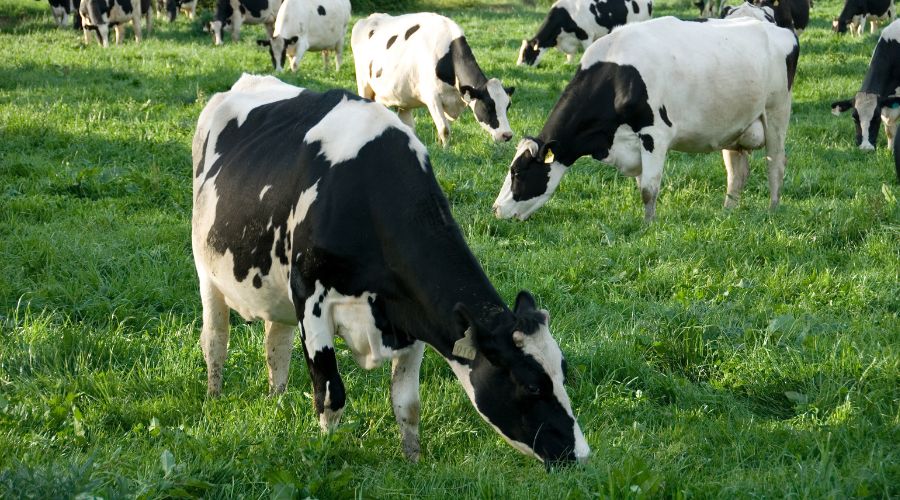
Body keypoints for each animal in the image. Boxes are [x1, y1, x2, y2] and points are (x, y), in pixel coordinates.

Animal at [192, 74, 589, 466]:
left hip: (277, 289)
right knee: (215, 339)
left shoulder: (413, 315)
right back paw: (213, 397)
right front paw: (326, 450)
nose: (581, 454)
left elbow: (407, 404)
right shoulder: (310, 299)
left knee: (276, 345)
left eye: (563, 371)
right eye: (532, 385)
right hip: (206, 270)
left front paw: (413, 460)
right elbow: (330, 394)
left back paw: (277, 399)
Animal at [351, 13, 514, 147]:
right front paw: (446, 151)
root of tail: (369, 18)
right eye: (488, 106)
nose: (507, 135)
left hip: (402, 98)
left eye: (507, 106)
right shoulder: (432, 98)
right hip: (364, 86)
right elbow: (444, 129)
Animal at [492, 15, 799, 221]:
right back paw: (727, 213)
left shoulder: (655, 134)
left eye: (518, 172)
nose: (496, 209)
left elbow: (649, 189)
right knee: (737, 173)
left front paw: (648, 226)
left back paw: (772, 210)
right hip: (734, 126)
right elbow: (642, 185)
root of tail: (781, 29)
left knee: (776, 164)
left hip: (776, 112)